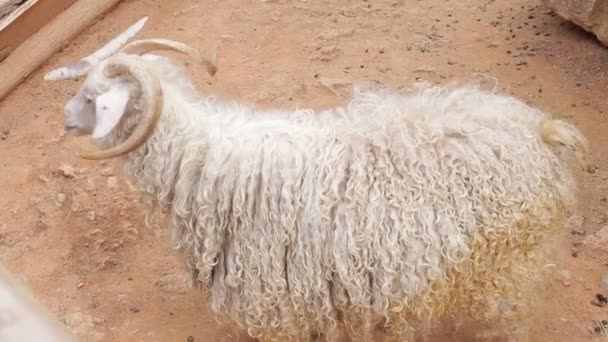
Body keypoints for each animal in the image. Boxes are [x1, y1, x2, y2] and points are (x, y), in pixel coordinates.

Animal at [46, 17, 588, 342]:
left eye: (92, 98)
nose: (64, 121)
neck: (204, 160)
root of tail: (542, 130)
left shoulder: (270, 301)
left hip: (507, 272)